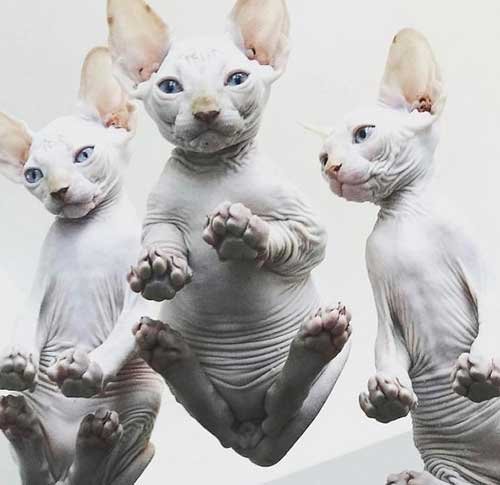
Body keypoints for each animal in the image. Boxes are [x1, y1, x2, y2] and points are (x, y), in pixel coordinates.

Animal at [0, 46, 162, 484]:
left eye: (84, 155)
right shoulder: (40, 285)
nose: (59, 190)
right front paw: (17, 360)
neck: (91, 231)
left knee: (90, 474)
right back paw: (22, 423)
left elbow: (123, 331)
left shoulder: (141, 289)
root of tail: (64, 447)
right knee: (40, 473)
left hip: (144, 401)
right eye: (33, 174)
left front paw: (88, 366)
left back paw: (95, 436)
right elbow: (26, 322)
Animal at [108, 0, 354, 464]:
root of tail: (252, 440)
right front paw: (159, 268)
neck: (214, 169)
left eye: (236, 79)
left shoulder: (309, 228)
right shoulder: (159, 218)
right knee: (212, 407)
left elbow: (291, 240)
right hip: (204, 410)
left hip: (321, 385)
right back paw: (168, 352)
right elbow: (161, 238)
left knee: (284, 400)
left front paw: (245, 232)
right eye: (170, 87)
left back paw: (316, 341)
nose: (205, 110)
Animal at [316, 28, 500, 482]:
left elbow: (492, 312)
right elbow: (386, 348)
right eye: (323, 157)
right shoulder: (382, 300)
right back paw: (412, 476)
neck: (405, 216)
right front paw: (386, 396)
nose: (331, 169)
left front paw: (483, 367)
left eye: (364, 134)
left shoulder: (479, 270)